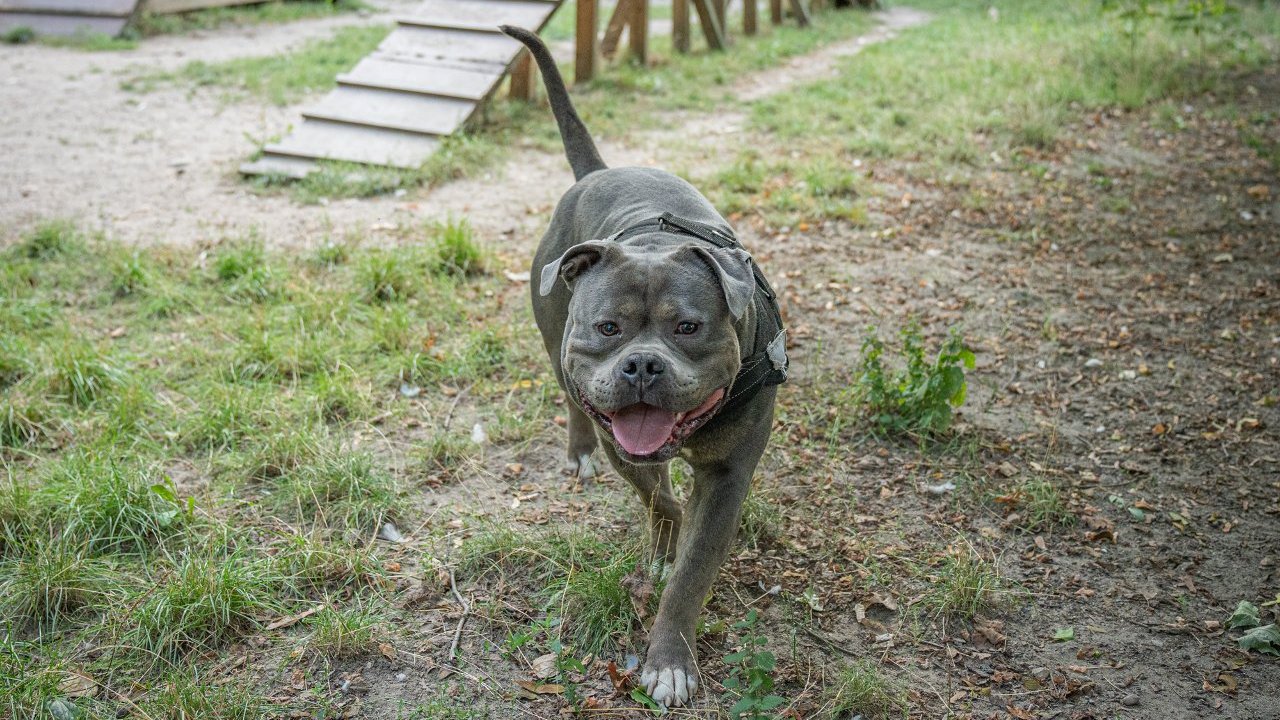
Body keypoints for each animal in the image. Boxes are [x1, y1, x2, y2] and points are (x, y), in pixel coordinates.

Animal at [501, 26, 788, 702]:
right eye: (608, 328)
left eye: (689, 328)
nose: (641, 367)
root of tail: (600, 172)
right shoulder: (622, 442)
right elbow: (660, 501)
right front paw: (663, 547)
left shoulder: (728, 476)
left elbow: (691, 573)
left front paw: (669, 659)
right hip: (556, 347)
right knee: (571, 401)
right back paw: (578, 453)